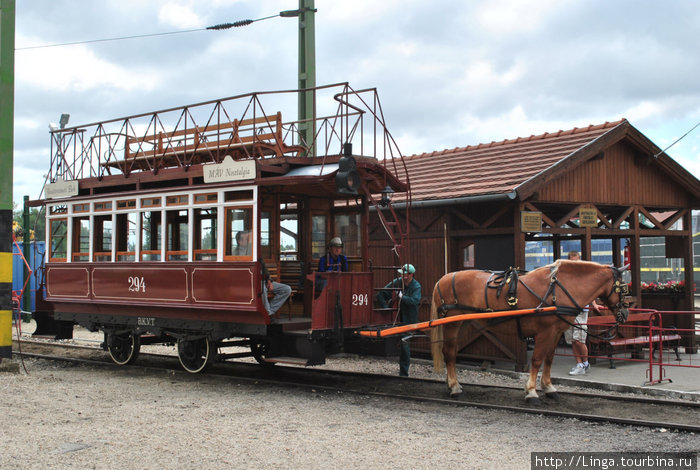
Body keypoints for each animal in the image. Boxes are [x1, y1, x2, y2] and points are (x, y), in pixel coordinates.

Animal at [426, 260, 628, 404]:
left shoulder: (556, 333)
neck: (558, 289)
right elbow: (537, 360)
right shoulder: (545, 332)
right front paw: (531, 391)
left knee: (451, 352)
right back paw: (454, 387)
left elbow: (549, 359)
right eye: (623, 288)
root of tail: (443, 279)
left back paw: (452, 383)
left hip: (462, 323)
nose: (625, 314)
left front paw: (548, 387)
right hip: (452, 324)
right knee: (448, 353)